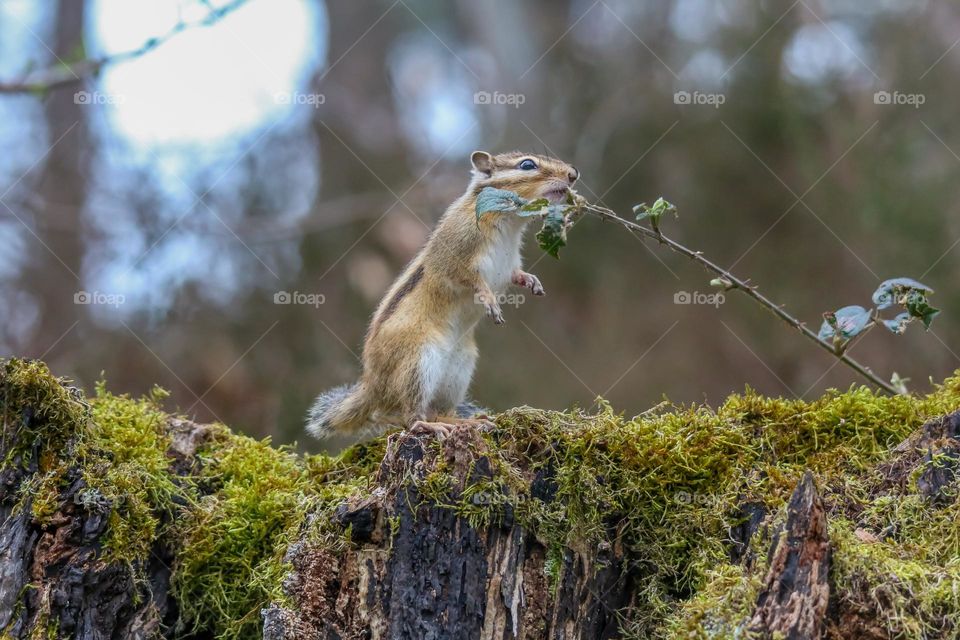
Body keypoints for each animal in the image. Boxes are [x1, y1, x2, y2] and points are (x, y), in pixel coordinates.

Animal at [307, 150, 579, 440]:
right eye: (527, 165)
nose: (573, 174)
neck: (510, 224)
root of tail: (372, 386)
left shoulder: (509, 266)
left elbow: (517, 275)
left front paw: (532, 282)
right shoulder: (454, 255)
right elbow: (468, 279)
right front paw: (489, 300)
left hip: (460, 368)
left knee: (435, 410)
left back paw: (464, 422)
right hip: (417, 362)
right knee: (403, 416)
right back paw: (429, 425)